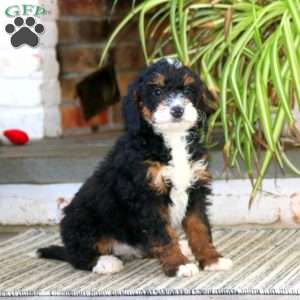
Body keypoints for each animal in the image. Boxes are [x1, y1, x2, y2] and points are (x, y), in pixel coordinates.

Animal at [37, 58, 233, 276]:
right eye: (157, 92)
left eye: (188, 90)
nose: (177, 110)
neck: (171, 139)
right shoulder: (146, 195)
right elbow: (164, 235)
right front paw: (179, 265)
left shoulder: (195, 188)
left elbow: (200, 228)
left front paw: (211, 259)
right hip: (81, 220)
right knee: (78, 255)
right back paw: (105, 262)